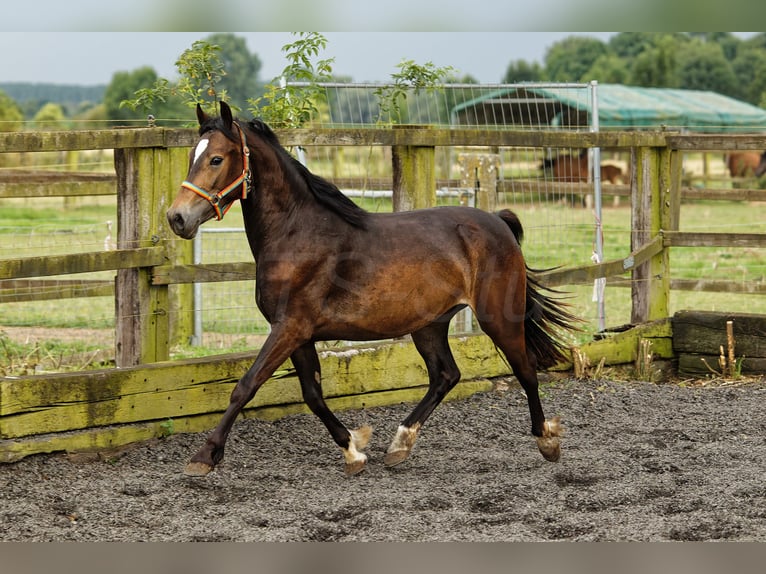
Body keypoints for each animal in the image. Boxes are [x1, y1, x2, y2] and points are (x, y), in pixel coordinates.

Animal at [165, 102, 580, 476]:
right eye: (191, 157)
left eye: (216, 159)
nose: (177, 218)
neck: (298, 233)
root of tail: (498, 221)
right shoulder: (299, 334)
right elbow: (313, 394)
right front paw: (354, 450)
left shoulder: (289, 328)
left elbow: (246, 385)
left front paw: (204, 457)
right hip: (429, 325)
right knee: (445, 375)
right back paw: (399, 445)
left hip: (497, 317)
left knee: (525, 368)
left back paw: (547, 440)